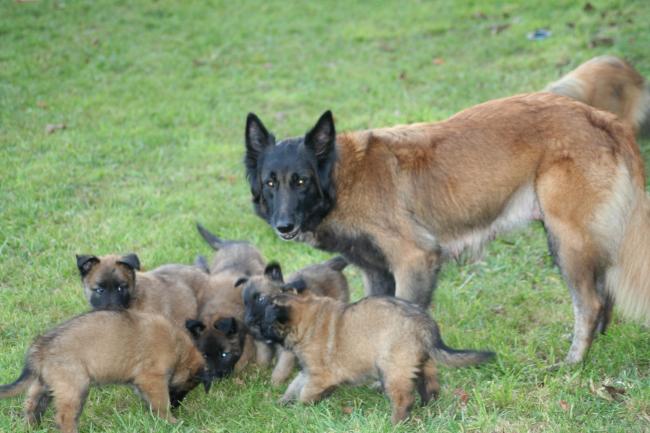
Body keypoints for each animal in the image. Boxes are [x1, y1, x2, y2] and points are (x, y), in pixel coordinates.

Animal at [0, 308, 206, 430]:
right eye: (186, 388)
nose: (177, 406)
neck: (178, 348)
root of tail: (41, 347)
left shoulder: (142, 383)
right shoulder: (152, 378)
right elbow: (161, 402)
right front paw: (171, 421)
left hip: (45, 384)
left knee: (32, 405)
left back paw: (30, 427)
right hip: (74, 386)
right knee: (65, 417)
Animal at [244, 93, 648, 362]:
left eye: (301, 181)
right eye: (270, 183)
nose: (283, 225)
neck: (341, 179)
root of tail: (601, 117)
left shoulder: (414, 258)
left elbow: (404, 315)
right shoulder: (375, 271)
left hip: (566, 240)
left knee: (591, 302)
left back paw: (573, 362)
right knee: (602, 294)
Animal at [256, 294, 494, 422]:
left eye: (264, 321)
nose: (252, 327)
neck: (306, 322)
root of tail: (423, 323)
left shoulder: (318, 374)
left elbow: (305, 392)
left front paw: (302, 409)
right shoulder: (309, 371)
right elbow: (295, 385)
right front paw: (283, 401)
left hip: (393, 368)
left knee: (403, 398)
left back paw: (396, 423)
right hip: (422, 363)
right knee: (430, 385)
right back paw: (428, 406)